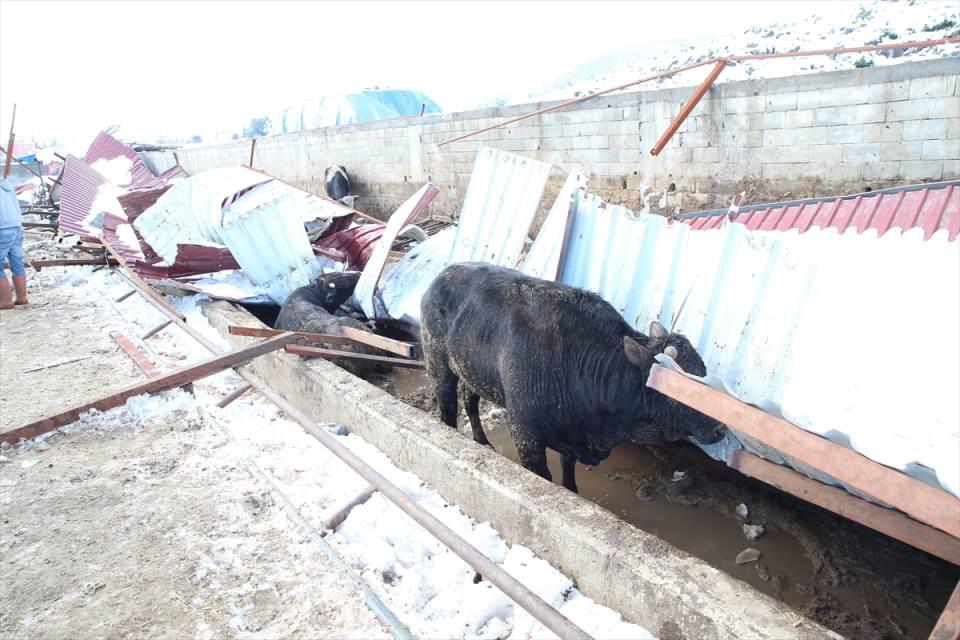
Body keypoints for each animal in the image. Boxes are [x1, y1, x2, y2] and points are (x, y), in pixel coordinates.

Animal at [420, 262, 728, 492]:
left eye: (703, 371)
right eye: (682, 388)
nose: (721, 429)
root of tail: (443, 274)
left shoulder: (572, 434)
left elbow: (568, 471)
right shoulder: (525, 432)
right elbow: (543, 476)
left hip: (471, 370)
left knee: (470, 402)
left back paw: (482, 441)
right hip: (438, 365)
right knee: (448, 408)